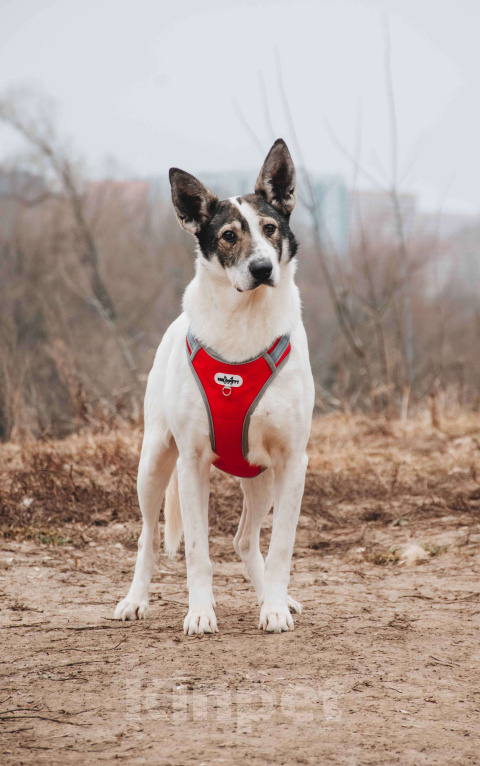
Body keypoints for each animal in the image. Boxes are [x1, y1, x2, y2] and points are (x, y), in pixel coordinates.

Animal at [113, 138, 316, 636]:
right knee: (148, 537)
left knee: (246, 540)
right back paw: (134, 600)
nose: (262, 268)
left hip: (262, 478)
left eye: (269, 228)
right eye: (228, 236)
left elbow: (281, 547)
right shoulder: (191, 462)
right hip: (153, 462)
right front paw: (201, 612)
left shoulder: (292, 462)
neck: (244, 320)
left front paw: (275, 608)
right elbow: (197, 552)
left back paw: (270, 598)